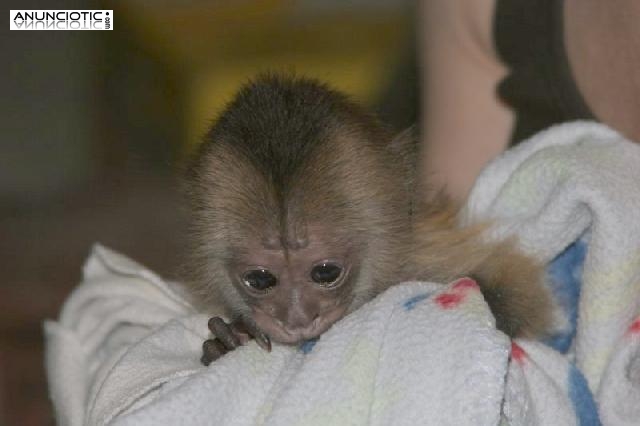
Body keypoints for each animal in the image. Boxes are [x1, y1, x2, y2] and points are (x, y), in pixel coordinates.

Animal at [184, 74, 552, 366]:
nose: (297, 319)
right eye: (260, 279)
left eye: (326, 272)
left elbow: (516, 292)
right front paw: (230, 341)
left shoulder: (431, 252)